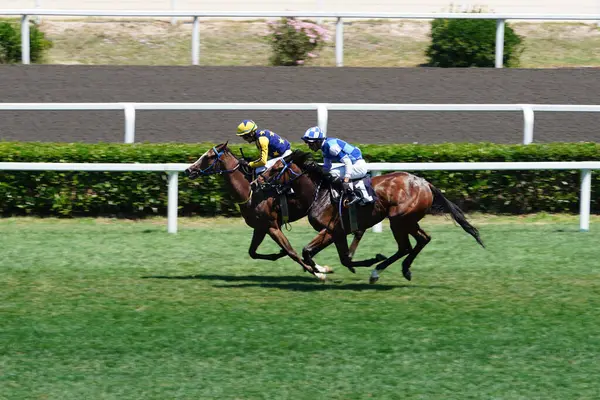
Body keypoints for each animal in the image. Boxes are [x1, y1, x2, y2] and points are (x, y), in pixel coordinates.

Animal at [185, 142, 368, 280]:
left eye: (208, 156)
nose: (188, 170)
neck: (250, 192)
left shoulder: (272, 226)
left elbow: (291, 252)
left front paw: (319, 272)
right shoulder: (260, 227)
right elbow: (253, 252)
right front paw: (281, 255)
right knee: (357, 230)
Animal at [255, 151, 486, 284]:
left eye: (276, 168)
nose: (257, 181)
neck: (320, 194)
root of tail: (424, 182)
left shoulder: (331, 229)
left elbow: (308, 252)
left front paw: (322, 271)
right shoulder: (338, 232)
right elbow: (341, 257)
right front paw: (326, 269)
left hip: (399, 219)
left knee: (406, 246)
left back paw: (378, 271)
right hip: (408, 220)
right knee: (422, 240)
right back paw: (402, 269)